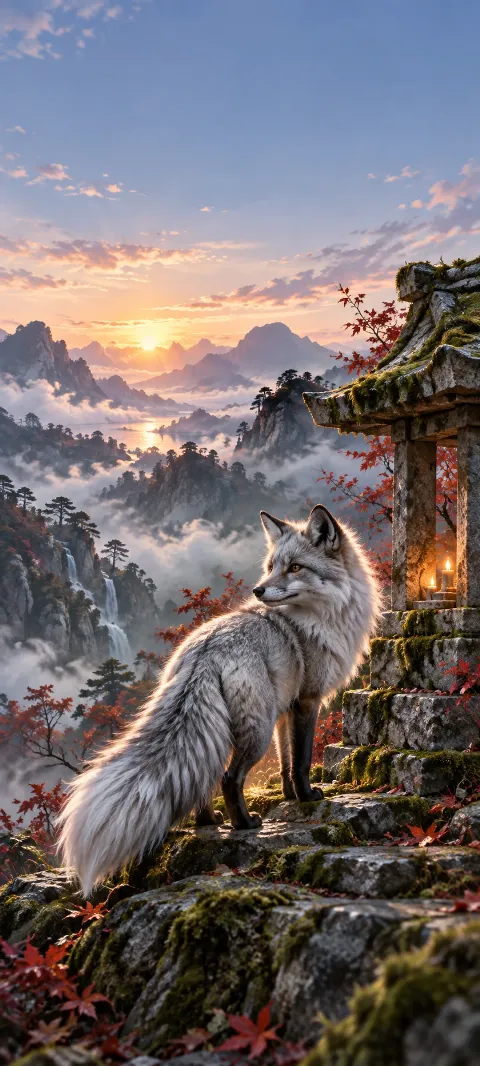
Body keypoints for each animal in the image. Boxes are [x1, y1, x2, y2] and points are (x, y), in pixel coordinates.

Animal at [58, 504, 381, 894]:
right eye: (272, 565)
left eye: (295, 567)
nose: (258, 590)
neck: (322, 619)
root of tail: (205, 648)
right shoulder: (307, 701)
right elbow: (301, 761)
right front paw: (306, 797)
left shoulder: (285, 710)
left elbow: (285, 763)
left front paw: (288, 796)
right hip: (255, 732)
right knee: (228, 777)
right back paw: (244, 824)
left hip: (239, 725)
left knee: (201, 779)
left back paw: (208, 821)